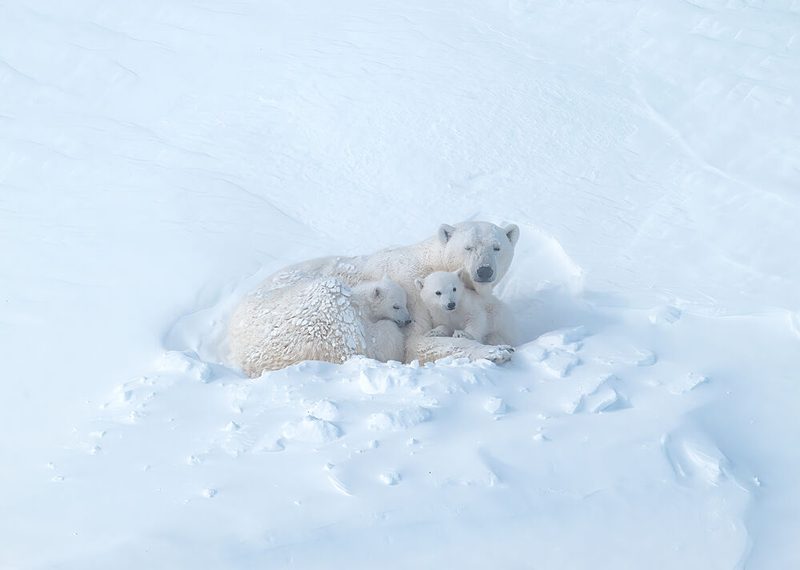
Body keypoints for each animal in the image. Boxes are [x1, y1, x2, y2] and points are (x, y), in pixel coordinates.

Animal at [228, 276, 411, 376]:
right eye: (396, 306)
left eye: (405, 303)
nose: (409, 320)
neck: (356, 304)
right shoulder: (349, 330)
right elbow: (383, 341)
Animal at [230, 221, 518, 367]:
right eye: (468, 247)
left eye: (497, 247)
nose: (483, 271)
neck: (432, 262)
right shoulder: (415, 292)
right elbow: (417, 343)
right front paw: (497, 351)